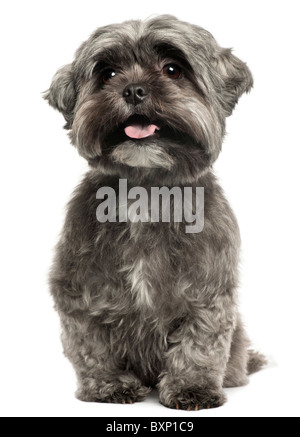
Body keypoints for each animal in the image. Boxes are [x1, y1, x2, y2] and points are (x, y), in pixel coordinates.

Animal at [44, 14, 264, 408]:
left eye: (172, 69)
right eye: (108, 74)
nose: (133, 90)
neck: (147, 191)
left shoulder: (208, 289)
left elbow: (199, 341)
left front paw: (192, 387)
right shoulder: (78, 289)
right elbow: (91, 344)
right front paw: (109, 385)